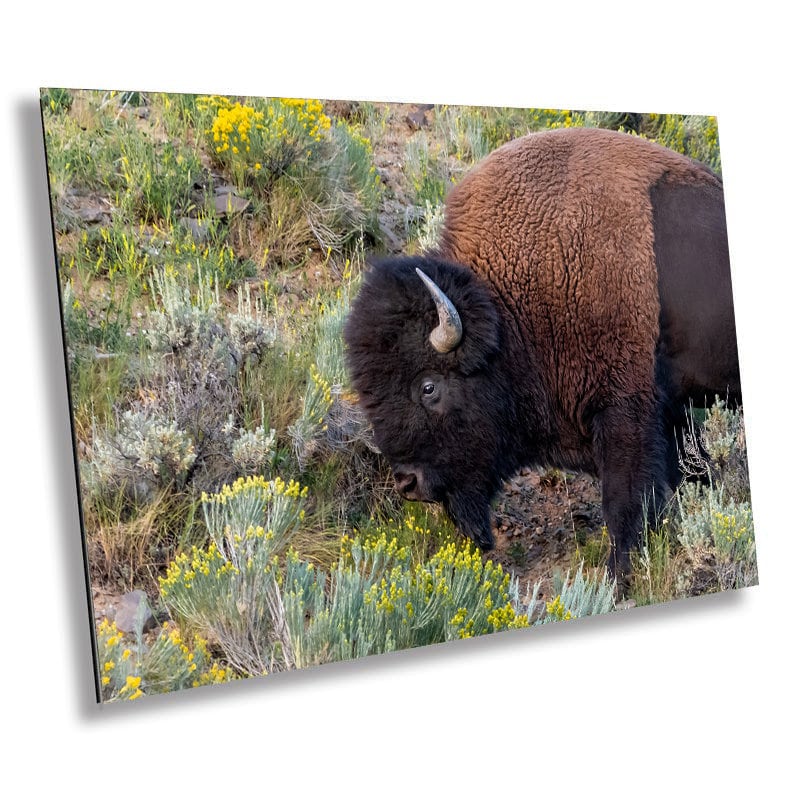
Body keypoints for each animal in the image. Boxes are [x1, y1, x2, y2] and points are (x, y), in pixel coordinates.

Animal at [346, 126, 740, 576]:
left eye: (429, 387)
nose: (407, 482)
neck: (508, 310)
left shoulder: (625, 412)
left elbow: (624, 505)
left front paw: (618, 577)